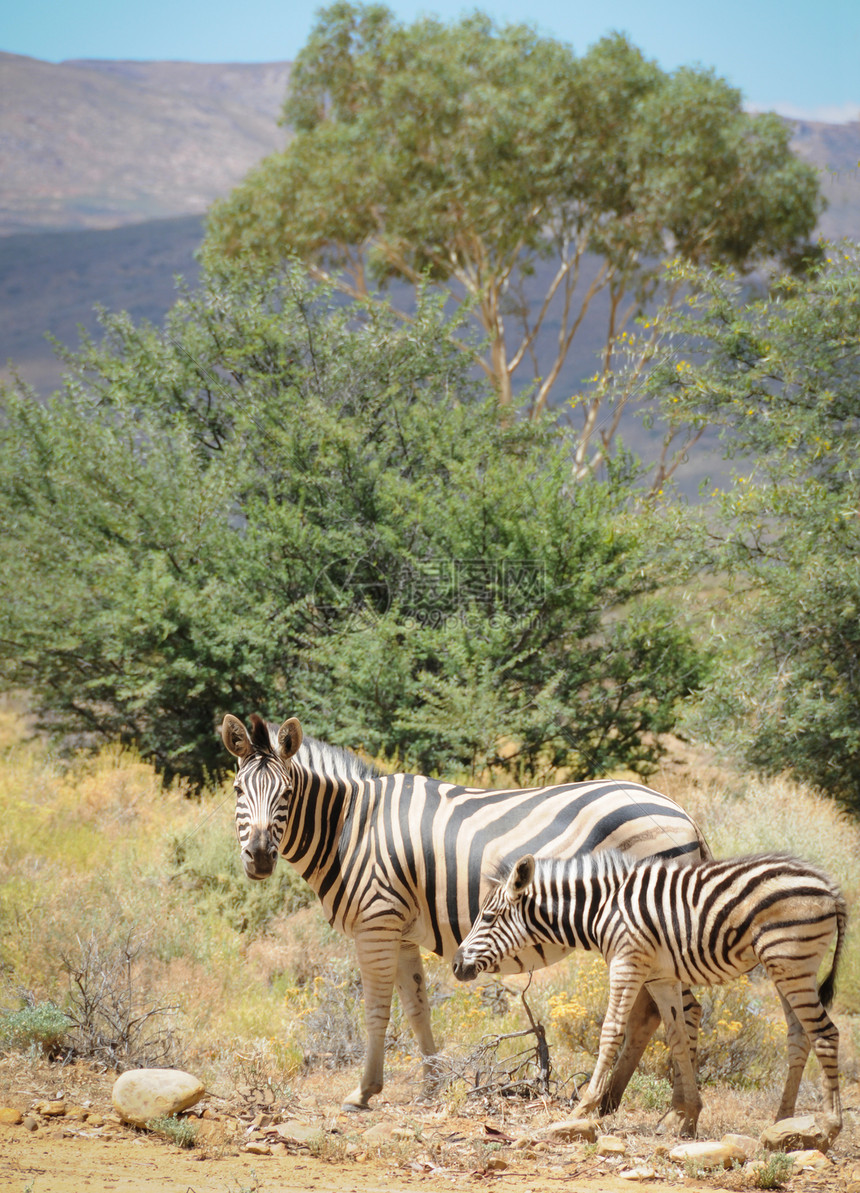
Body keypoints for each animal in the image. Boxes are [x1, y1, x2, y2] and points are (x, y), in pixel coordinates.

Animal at [221, 711, 710, 1111]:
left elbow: (376, 1009)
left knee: (682, 1009)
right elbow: (416, 1008)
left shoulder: (376, 922)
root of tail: (682, 813)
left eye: (286, 793)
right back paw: (612, 1101)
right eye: (238, 790)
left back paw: (675, 1111)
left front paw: (363, 1092)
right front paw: (431, 1086)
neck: (349, 828)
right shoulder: (399, 930)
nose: (260, 857)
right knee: (653, 1012)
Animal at [453, 849, 839, 1135]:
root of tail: (829, 885)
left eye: (487, 918)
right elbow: (677, 1039)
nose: (456, 965)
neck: (602, 908)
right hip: (786, 968)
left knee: (826, 1033)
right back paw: (782, 1124)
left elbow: (611, 1032)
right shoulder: (660, 978)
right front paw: (687, 1113)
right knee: (799, 1036)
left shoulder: (626, 964)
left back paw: (830, 1127)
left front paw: (583, 1107)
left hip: (790, 962)